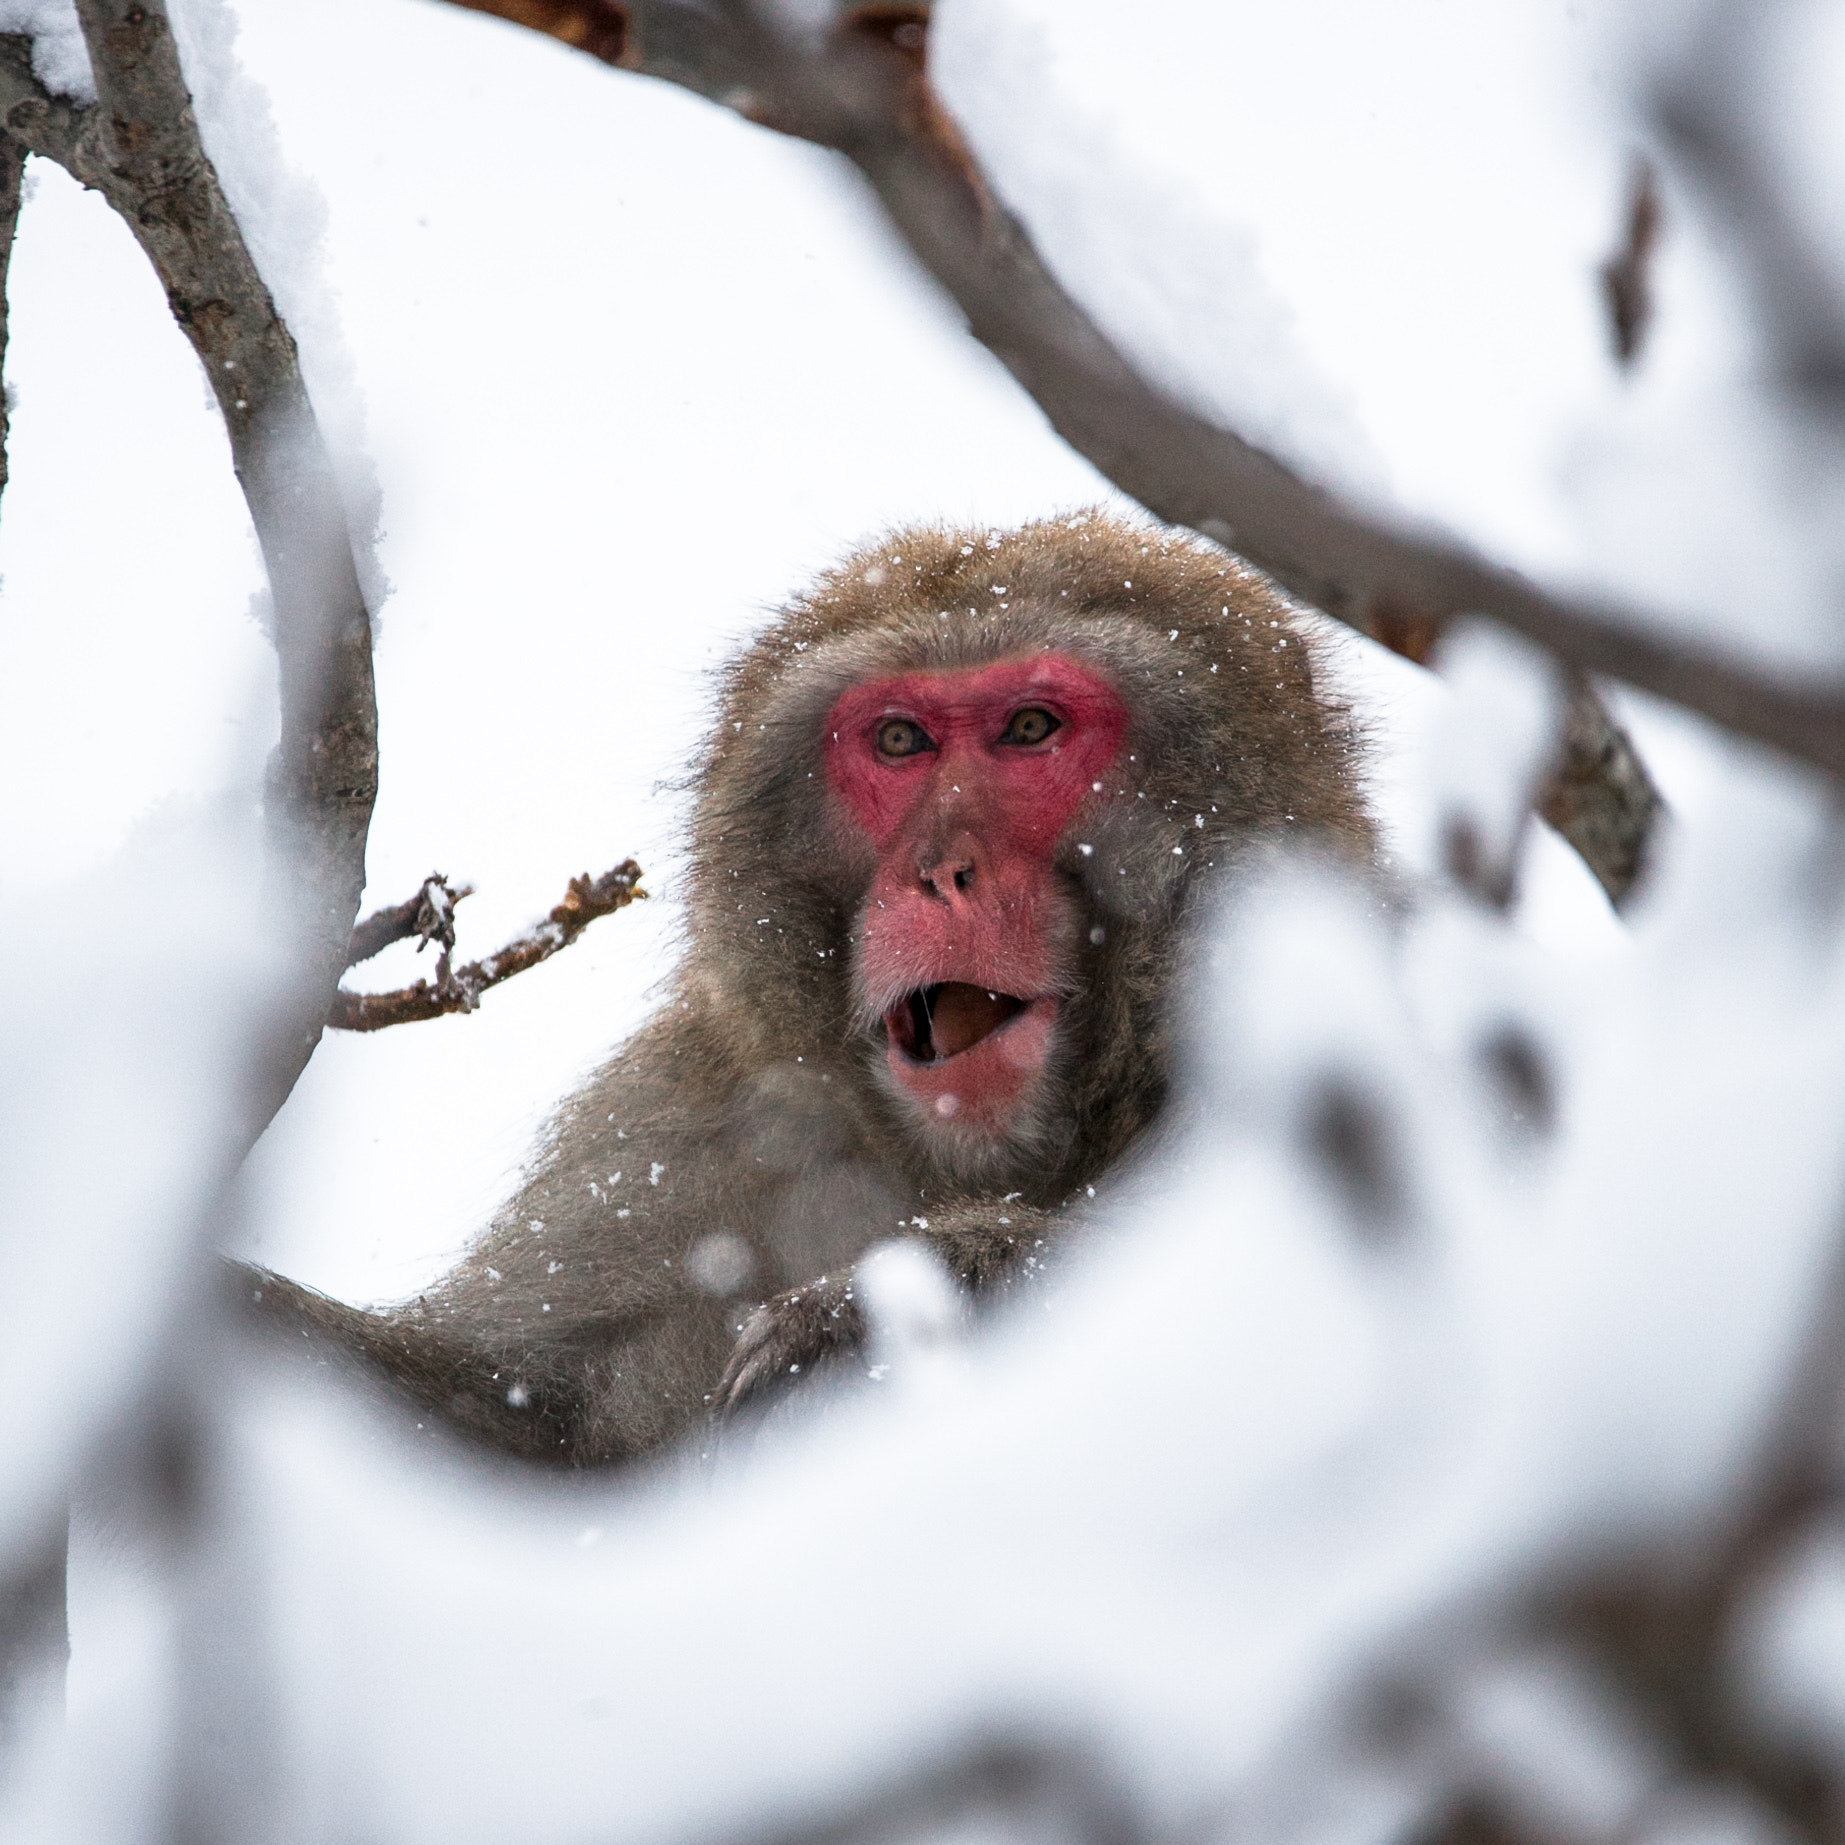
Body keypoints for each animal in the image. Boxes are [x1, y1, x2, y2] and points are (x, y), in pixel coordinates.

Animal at [247, 511, 1376, 1465]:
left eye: (1030, 728)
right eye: (899, 741)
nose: (939, 872)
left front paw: (890, 1297)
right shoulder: (690, 1126)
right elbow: (517, 1430)